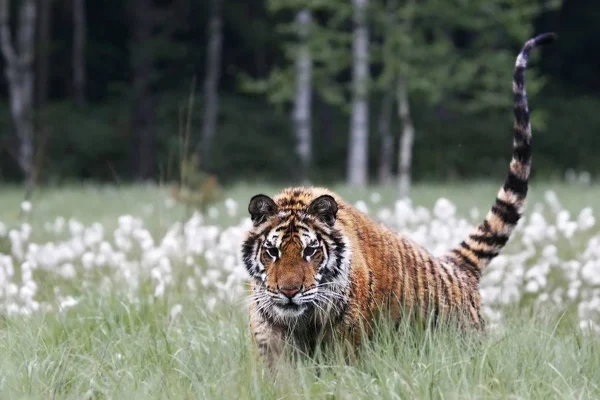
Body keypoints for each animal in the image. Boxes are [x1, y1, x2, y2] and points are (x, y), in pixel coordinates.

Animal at [240, 32, 556, 368]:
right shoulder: (270, 338)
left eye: (310, 251)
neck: (300, 321)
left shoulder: (346, 344)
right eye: (272, 252)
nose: (289, 292)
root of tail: (457, 268)